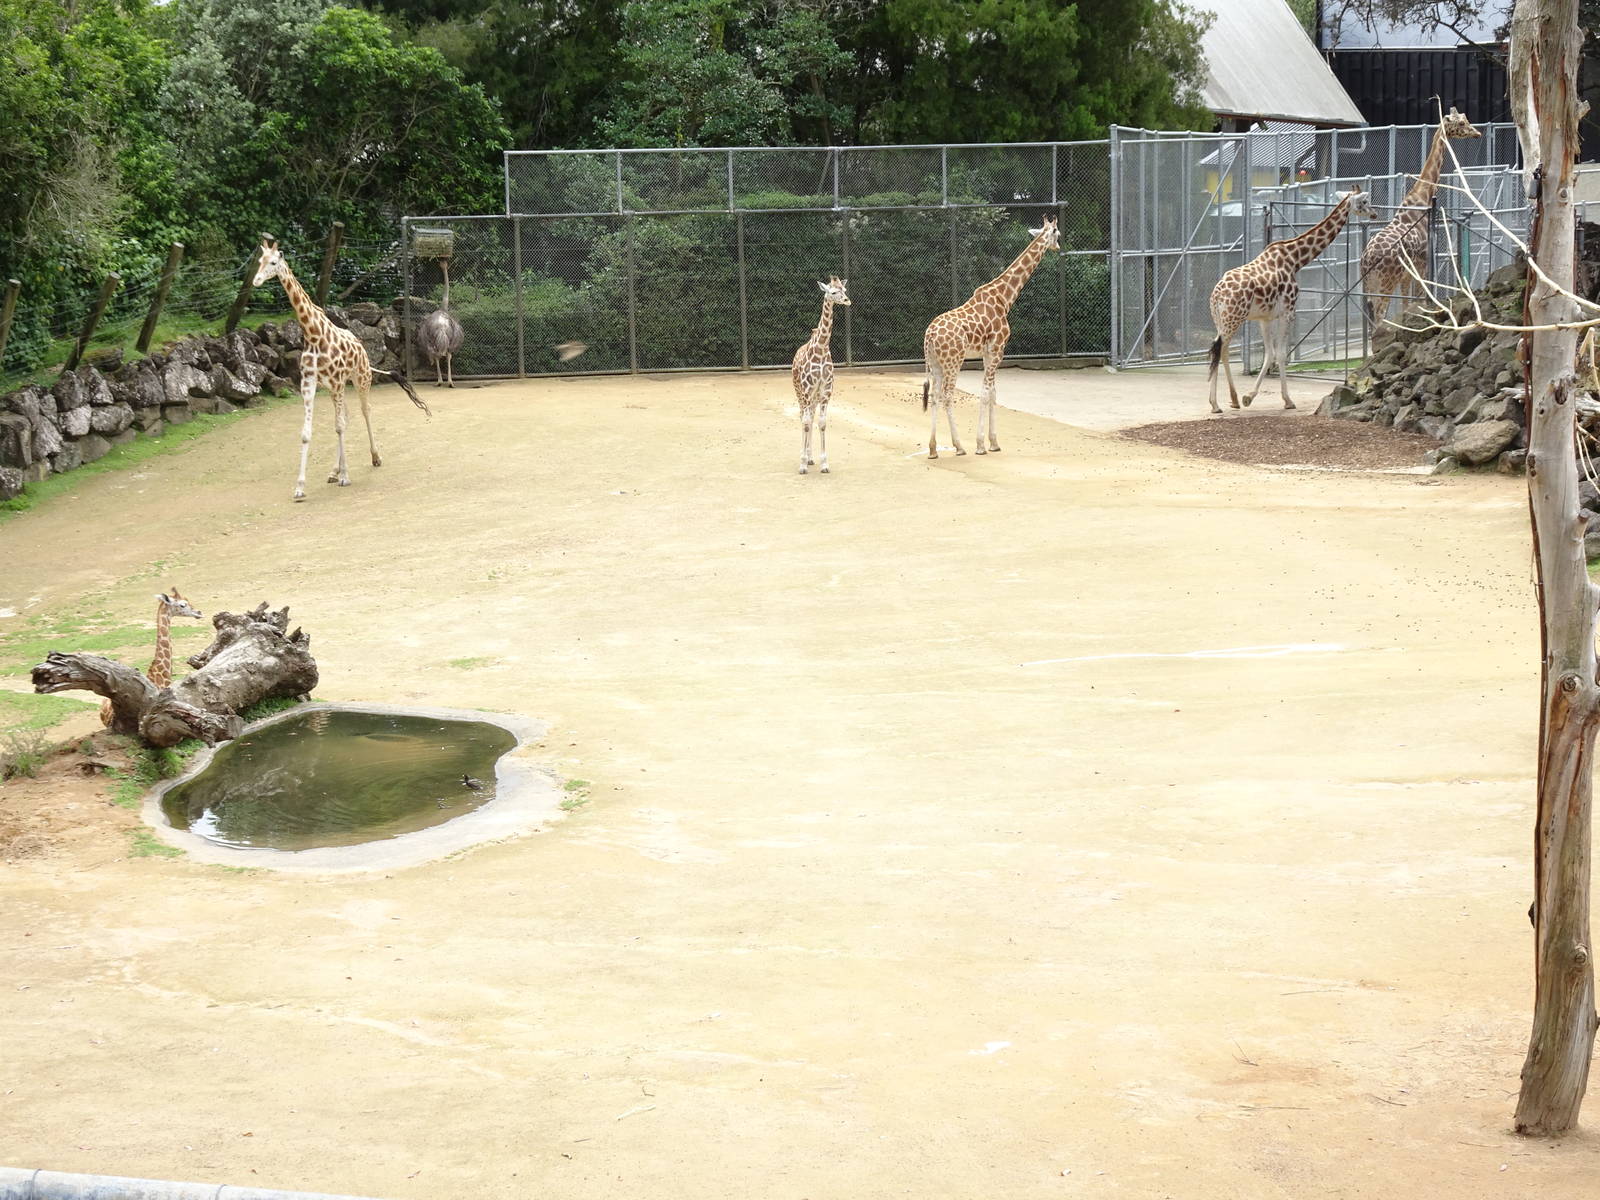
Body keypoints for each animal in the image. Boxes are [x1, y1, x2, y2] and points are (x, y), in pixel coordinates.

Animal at [251, 237, 431, 501]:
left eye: (273, 262)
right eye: (259, 261)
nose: (256, 280)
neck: (313, 334)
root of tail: (363, 349)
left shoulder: (336, 381)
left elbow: (339, 426)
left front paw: (346, 476)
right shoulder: (309, 382)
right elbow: (308, 432)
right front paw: (300, 487)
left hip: (360, 379)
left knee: (365, 411)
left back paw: (374, 458)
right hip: (335, 387)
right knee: (346, 416)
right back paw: (333, 471)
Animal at [791, 277, 850, 474]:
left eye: (844, 289)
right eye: (833, 292)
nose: (847, 300)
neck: (821, 348)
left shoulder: (826, 391)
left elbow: (822, 423)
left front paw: (824, 463)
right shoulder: (807, 390)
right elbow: (806, 422)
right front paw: (802, 464)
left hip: (814, 397)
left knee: (810, 417)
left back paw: (810, 458)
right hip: (800, 392)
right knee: (803, 417)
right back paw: (805, 457)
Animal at [921, 219, 1060, 458]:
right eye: (1057, 234)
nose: (1059, 248)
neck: (1004, 298)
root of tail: (928, 336)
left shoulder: (988, 353)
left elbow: (994, 393)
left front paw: (994, 442)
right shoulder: (997, 349)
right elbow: (985, 394)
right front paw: (980, 445)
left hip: (935, 364)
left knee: (934, 396)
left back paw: (932, 449)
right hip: (953, 361)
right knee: (947, 395)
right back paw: (959, 447)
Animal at [1206, 190, 1376, 415]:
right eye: (1364, 201)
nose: (1374, 214)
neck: (1295, 259)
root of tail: (1217, 295)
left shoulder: (1265, 317)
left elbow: (1269, 354)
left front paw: (1248, 397)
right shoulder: (1288, 311)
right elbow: (1280, 354)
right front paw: (1287, 400)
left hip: (1221, 320)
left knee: (1221, 351)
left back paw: (1232, 399)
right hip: (1233, 319)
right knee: (1217, 350)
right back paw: (1215, 404)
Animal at [1360, 108, 1483, 327]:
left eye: (1466, 118)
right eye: (1461, 123)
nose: (1477, 133)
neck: (1422, 197)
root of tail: (1368, 259)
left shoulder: (1407, 274)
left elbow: (1407, 306)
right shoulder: (1422, 263)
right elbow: (1419, 301)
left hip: (1368, 285)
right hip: (1386, 282)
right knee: (1380, 318)